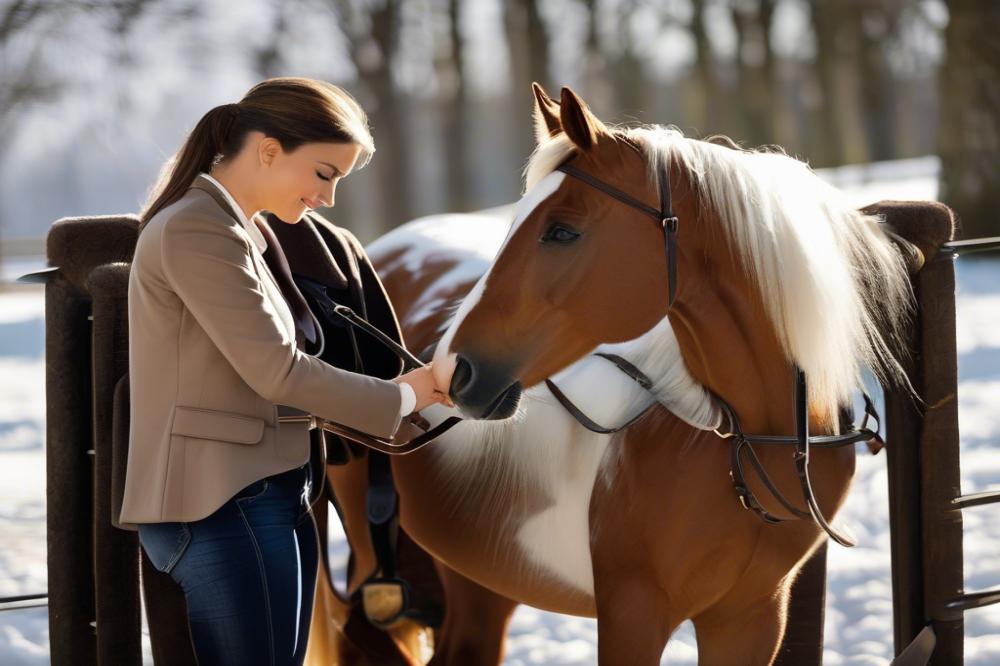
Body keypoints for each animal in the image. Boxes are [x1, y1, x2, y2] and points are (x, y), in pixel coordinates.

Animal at [308, 84, 912, 664]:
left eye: (561, 231)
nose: (453, 371)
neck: (747, 439)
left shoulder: (751, 619)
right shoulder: (633, 613)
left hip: (474, 581)